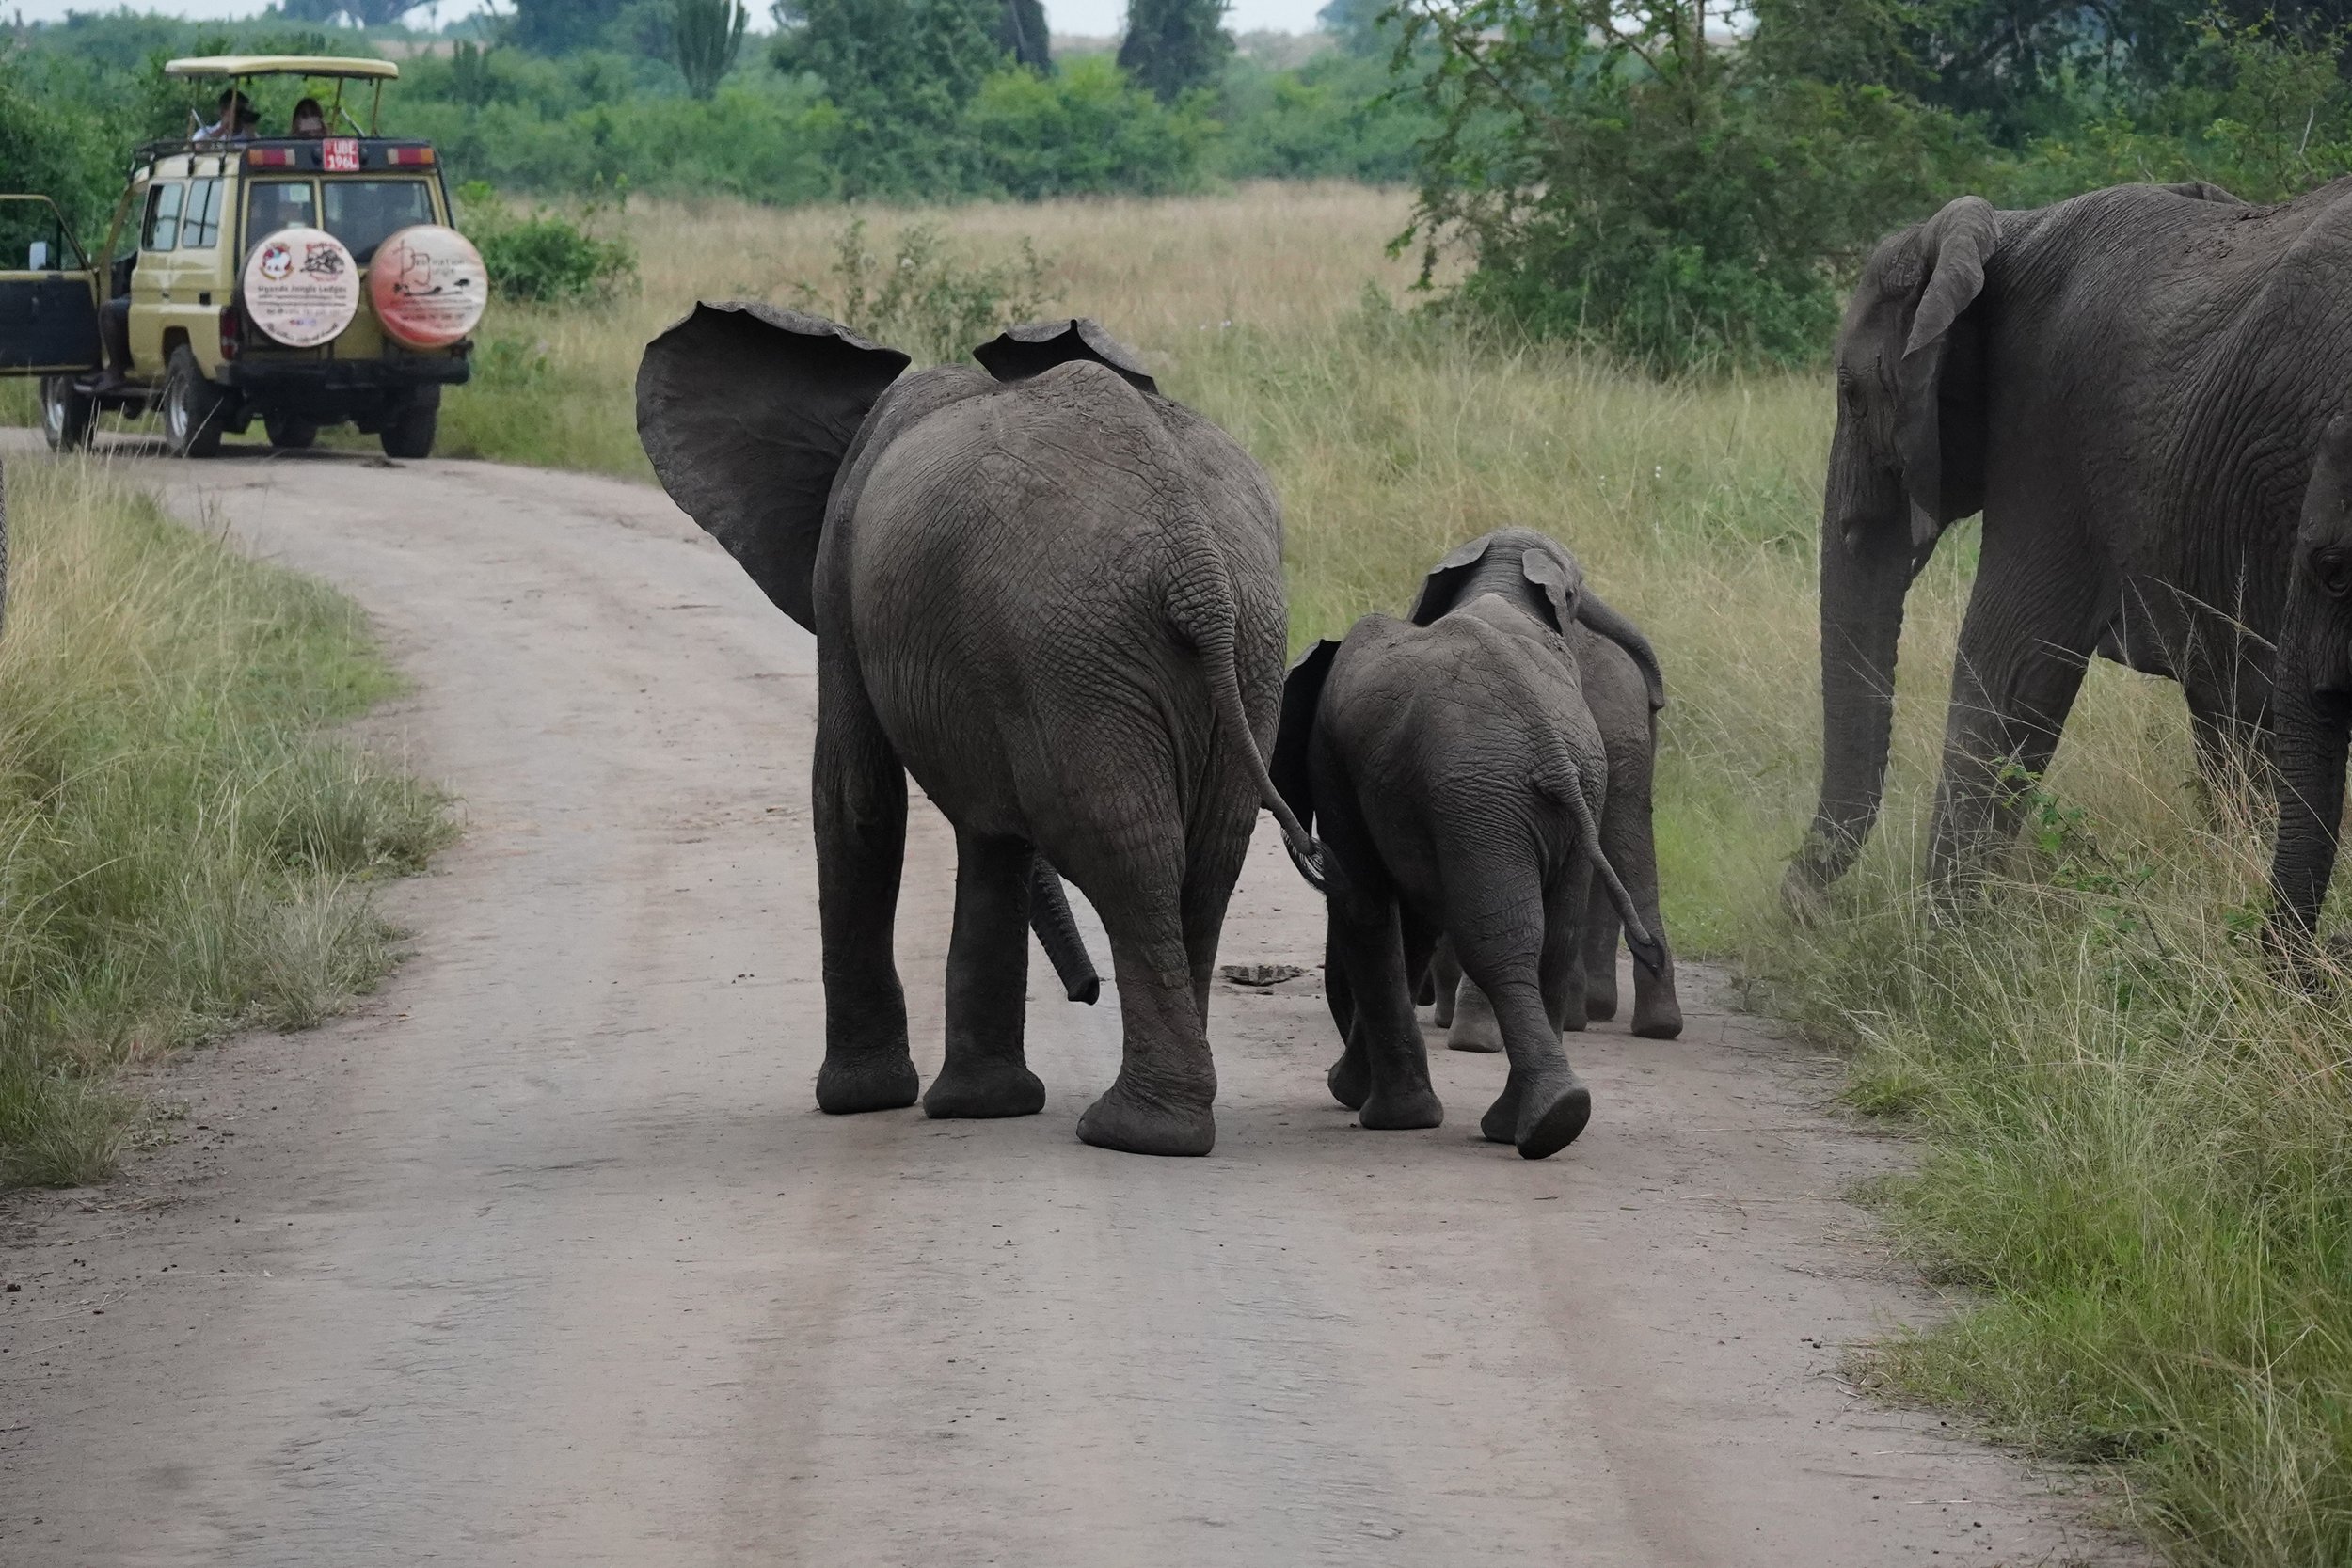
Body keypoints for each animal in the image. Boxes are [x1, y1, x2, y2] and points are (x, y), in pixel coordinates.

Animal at [637, 308, 1322, 1157]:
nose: (1084, 992)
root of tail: (1192, 559)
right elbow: (991, 837)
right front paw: (982, 1106)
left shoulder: (842, 562)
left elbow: (857, 797)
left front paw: (863, 1100)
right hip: (1234, 645)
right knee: (1207, 855)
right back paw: (1174, 1119)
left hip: (1081, 647)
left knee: (1126, 850)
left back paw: (1136, 1131)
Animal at [1272, 528, 1669, 1159]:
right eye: (1576, 592)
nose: (1657, 699)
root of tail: (1549, 747)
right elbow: (1407, 923)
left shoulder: (1333, 757)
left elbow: (1367, 908)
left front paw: (1372, 1106)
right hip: (1552, 794)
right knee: (1549, 941)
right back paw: (1547, 1119)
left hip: (1485, 800)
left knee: (1496, 942)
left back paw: (1538, 1120)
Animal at [1781, 178, 2352, 940]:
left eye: (1851, 393)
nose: (1797, 899)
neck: (2008, 233)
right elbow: (2231, 714)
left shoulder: (2047, 434)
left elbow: (2009, 667)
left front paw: (1942, 951)